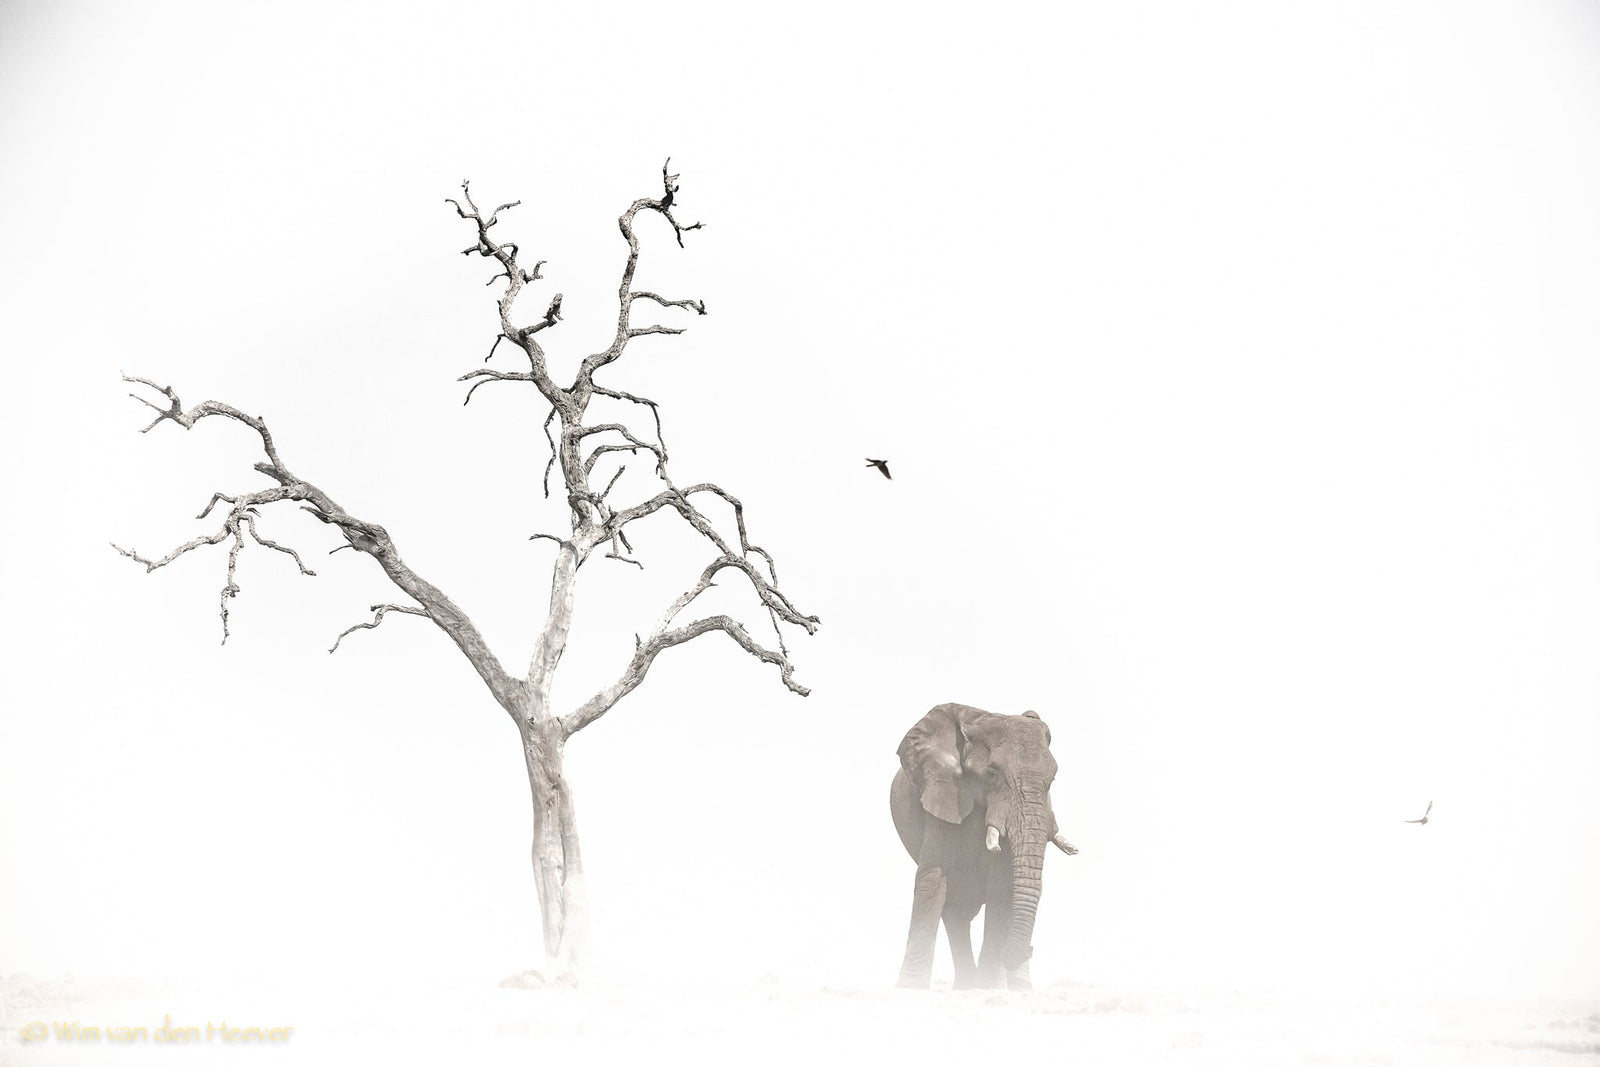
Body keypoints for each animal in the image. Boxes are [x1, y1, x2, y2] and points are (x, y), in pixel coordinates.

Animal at [891, 703, 1078, 990]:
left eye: (1053, 779)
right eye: (992, 773)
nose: (1030, 950)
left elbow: (1001, 889)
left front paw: (988, 985)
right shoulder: (942, 796)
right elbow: (933, 880)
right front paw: (909, 988)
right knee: (954, 910)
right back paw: (966, 985)